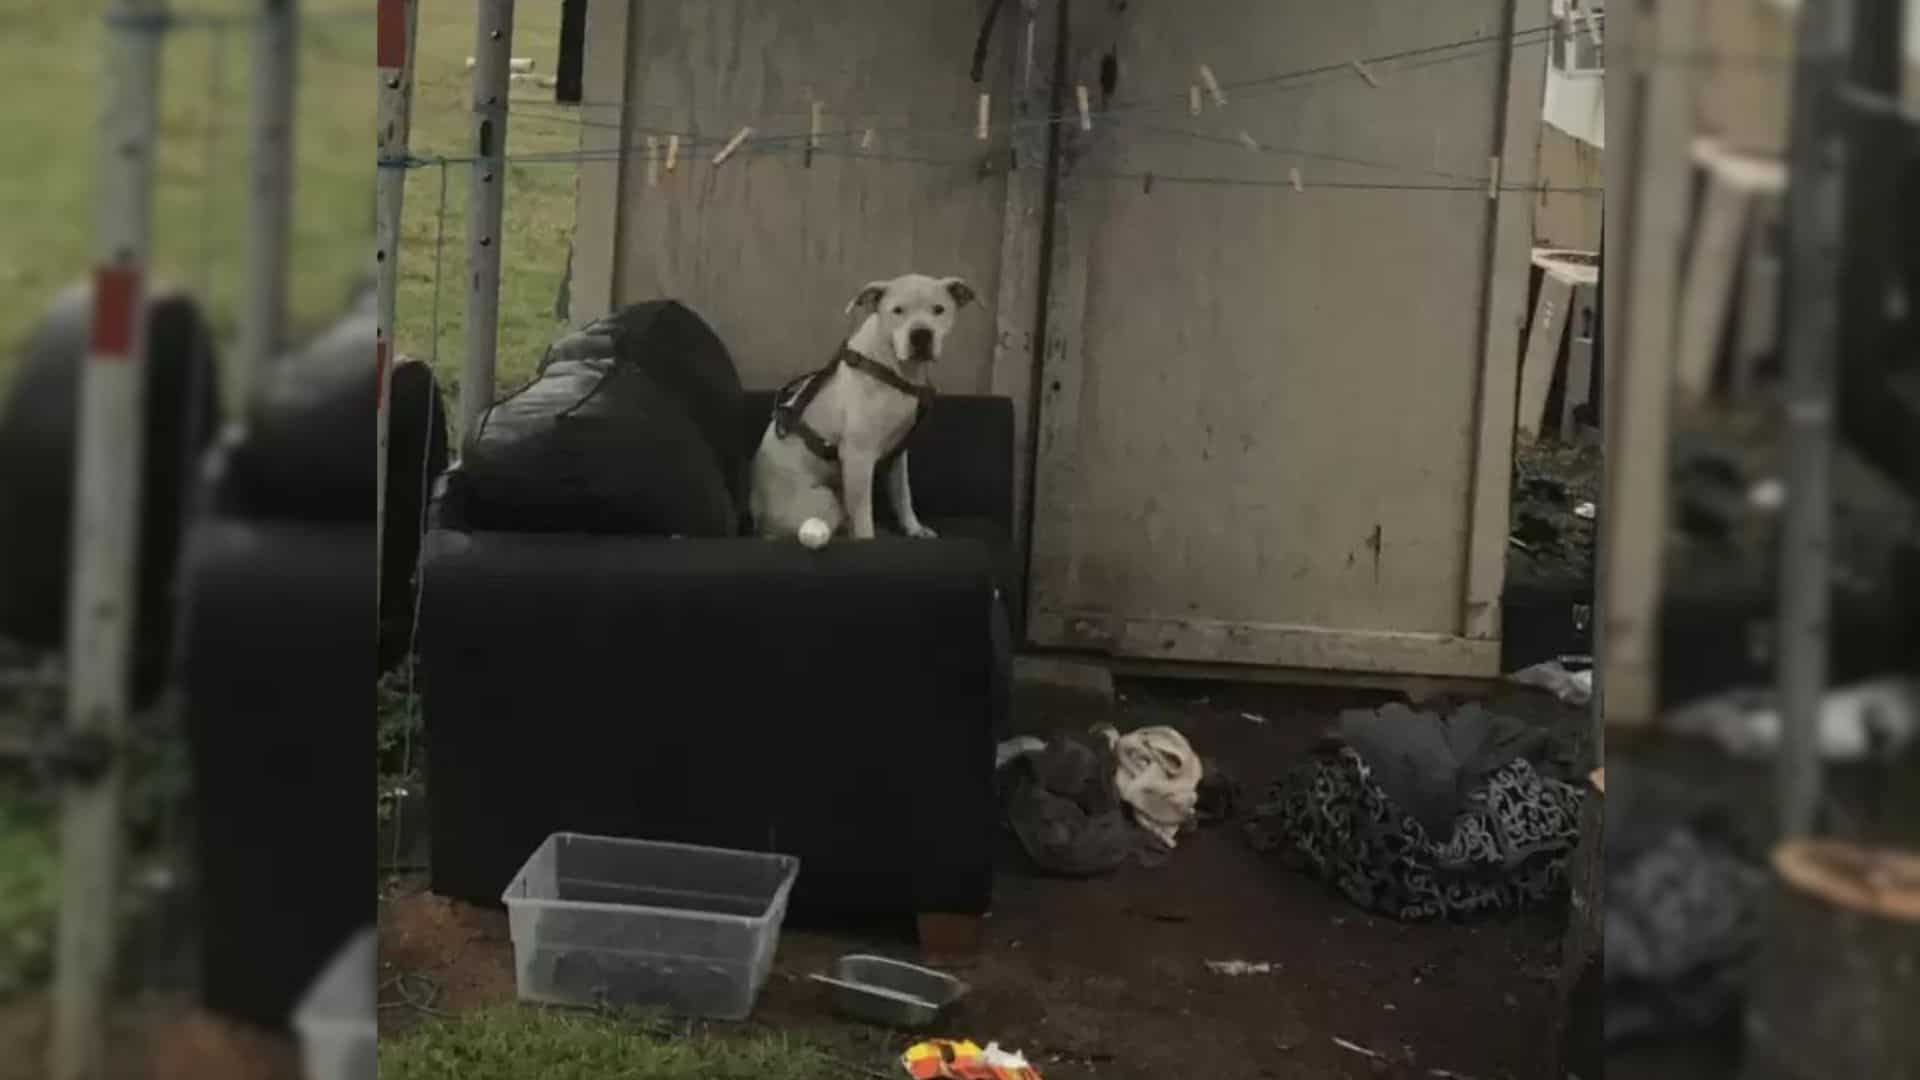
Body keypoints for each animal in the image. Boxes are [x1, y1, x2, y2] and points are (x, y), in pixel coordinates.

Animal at [748, 272, 975, 541]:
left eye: (939, 309)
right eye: (897, 310)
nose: (921, 334)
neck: (893, 367)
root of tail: (760, 524)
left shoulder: (898, 452)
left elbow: (902, 495)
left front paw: (914, 528)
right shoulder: (858, 458)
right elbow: (863, 517)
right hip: (826, 501)